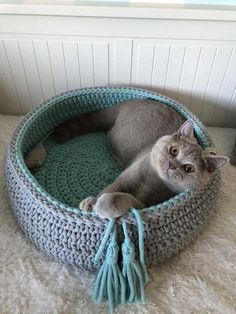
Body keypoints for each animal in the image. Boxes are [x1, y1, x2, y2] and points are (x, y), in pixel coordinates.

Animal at [54, 100, 229, 218]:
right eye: (174, 150)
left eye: (189, 168)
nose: (172, 165)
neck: (152, 179)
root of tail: (125, 104)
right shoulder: (125, 179)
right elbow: (110, 188)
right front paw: (91, 203)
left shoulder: (146, 204)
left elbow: (125, 199)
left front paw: (102, 205)